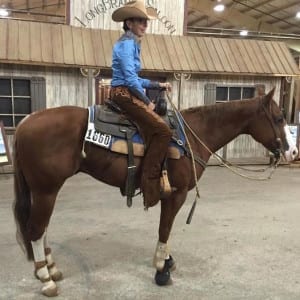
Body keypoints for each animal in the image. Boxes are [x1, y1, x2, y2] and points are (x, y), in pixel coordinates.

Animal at [12, 88, 298, 296]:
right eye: (278, 118)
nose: (293, 152)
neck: (192, 136)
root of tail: (26, 122)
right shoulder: (176, 194)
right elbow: (165, 228)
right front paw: (162, 269)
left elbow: (165, 229)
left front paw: (167, 260)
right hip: (47, 190)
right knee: (36, 229)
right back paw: (46, 279)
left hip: (44, 191)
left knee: (41, 229)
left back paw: (51, 269)